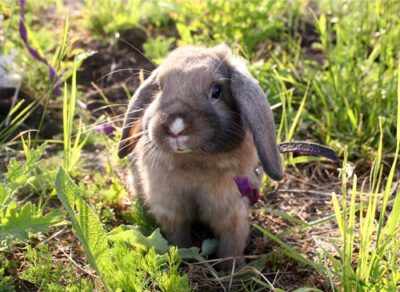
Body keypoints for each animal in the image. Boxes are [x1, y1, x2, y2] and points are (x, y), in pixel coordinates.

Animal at [117, 44, 282, 270]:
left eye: (216, 91)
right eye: (159, 87)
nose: (176, 128)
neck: (194, 160)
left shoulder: (231, 211)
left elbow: (233, 242)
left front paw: (233, 270)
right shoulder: (170, 208)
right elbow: (178, 236)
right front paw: (180, 255)